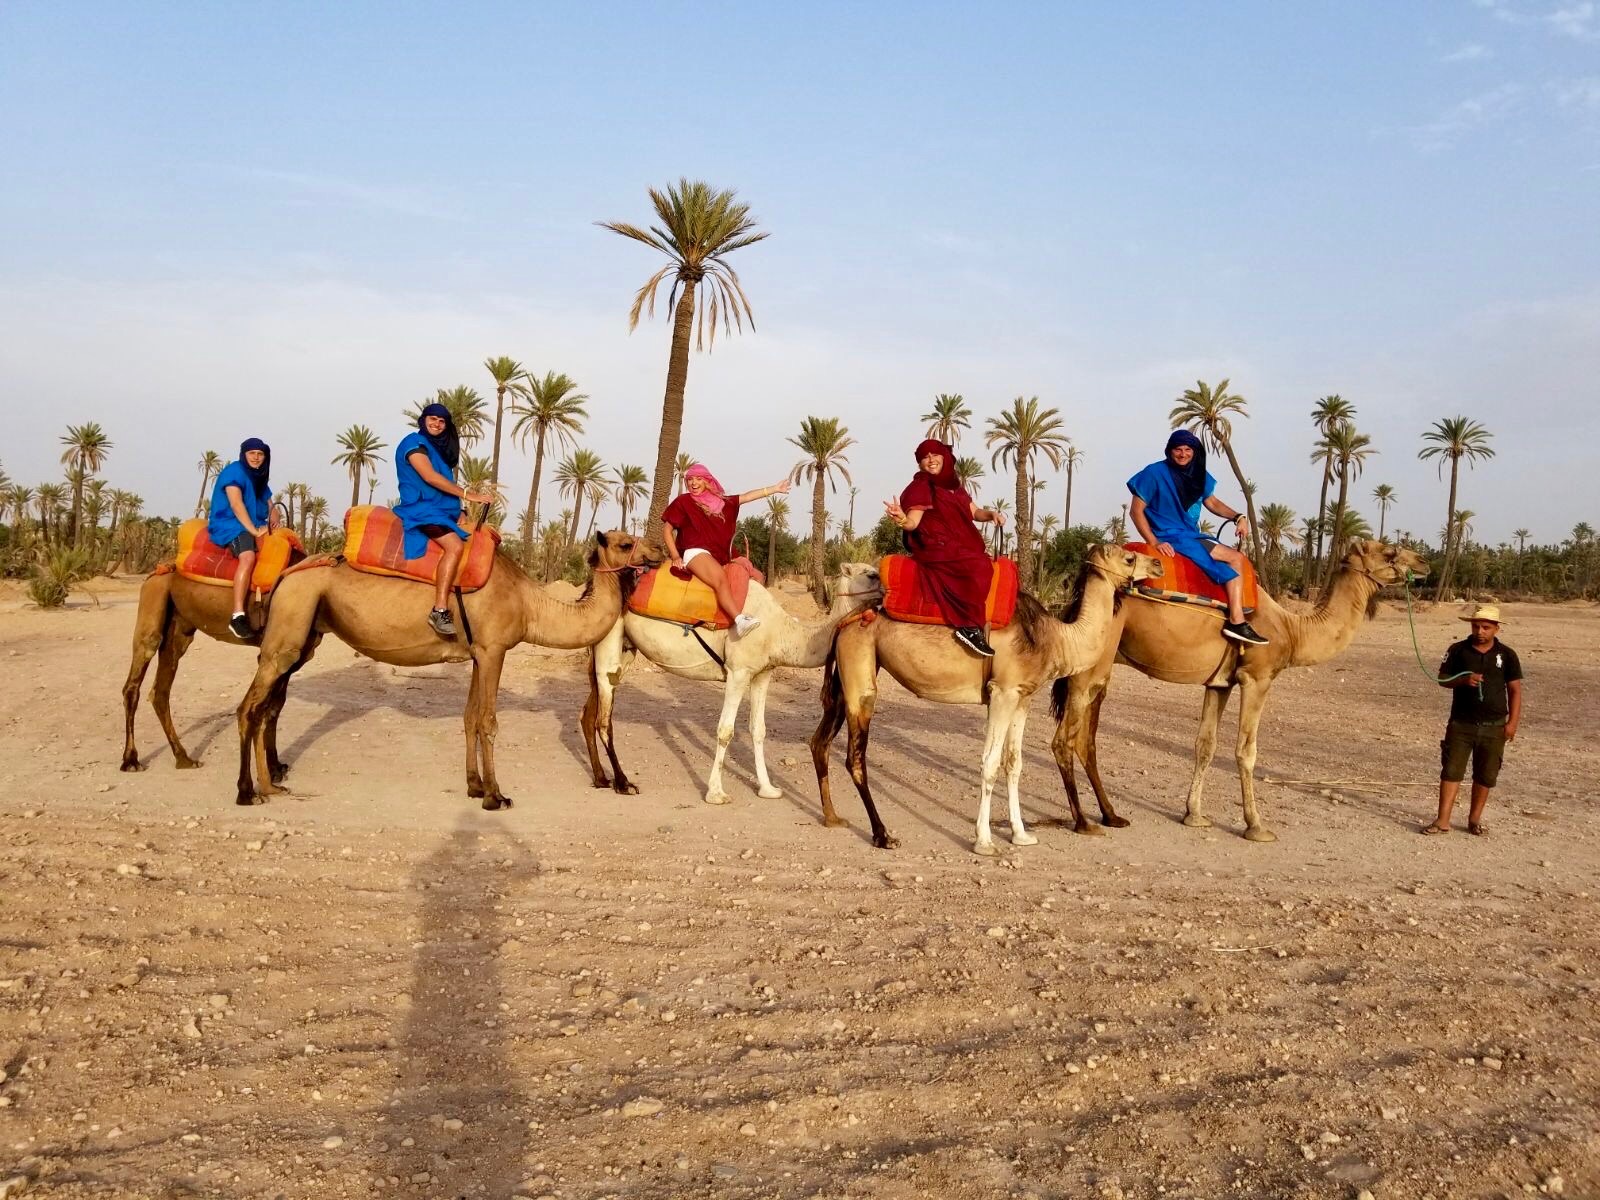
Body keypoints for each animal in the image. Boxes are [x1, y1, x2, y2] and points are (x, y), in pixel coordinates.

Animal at [120, 572, 299, 780]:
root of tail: (155, 574)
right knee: (135, 680)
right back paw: (131, 761)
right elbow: (270, 706)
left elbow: (275, 706)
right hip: (153, 601)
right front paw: (274, 770)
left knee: (160, 692)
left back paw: (184, 759)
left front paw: (277, 767)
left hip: (178, 629)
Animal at [233, 534, 643, 809]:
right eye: (626, 543)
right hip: (291, 624)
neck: (530, 606)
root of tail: (286, 574)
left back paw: (271, 787)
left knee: (266, 706)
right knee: (249, 708)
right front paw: (496, 796)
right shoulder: (494, 650)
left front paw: (475, 787)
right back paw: (246, 792)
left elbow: (469, 717)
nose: (653, 554)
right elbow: (488, 722)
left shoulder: (479, 653)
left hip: (304, 633)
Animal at [585, 563, 889, 809]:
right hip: (611, 634)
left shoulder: (762, 673)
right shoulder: (738, 671)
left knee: (590, 711)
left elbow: (758, 730)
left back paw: (601, 779)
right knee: (604, 713)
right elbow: (725, 730)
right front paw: (716, 793)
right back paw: (623, 784)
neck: (781, 632)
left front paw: (768, 789)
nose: (888, 593)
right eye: (871, 573)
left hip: (625, 646)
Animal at [812, 544, 1164, 857]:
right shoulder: (1002, 691)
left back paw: (832, 817)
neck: (1055, 639)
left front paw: (1022, 835)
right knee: (855, 757)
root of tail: (844, 622)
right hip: (860, 672)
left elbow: (1014, 763)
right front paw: (984, 842)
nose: (1159, 564)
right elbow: (990, 763)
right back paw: (883, 835)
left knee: (820, 741)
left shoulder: (1023, 697)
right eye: (1129, 557)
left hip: (849, 677)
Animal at [1056, 540, 1433, 838]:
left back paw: (1111, 816)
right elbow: (1246, 751)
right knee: (1066, 738)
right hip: (1091, 666)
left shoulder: (1219, 683)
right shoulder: (1257, 677)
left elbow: (1205, 745)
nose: (1424, 562)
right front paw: (1256, 826)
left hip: (1104, 669)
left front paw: (1194, 815)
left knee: (1086, 740)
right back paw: (1084, 822)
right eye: (1389, 550)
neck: (1293, 629)